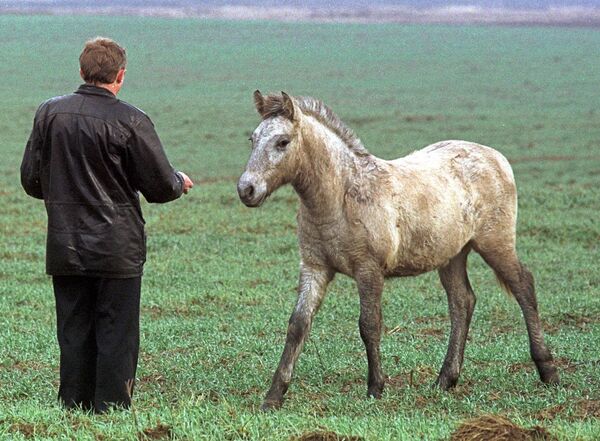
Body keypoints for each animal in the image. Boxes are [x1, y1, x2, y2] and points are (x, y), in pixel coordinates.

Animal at [237, 89, 560, 410]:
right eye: (252, 139)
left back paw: (548, 371)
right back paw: (445, 379)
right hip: (452, 255)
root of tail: (497, 157)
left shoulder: (368, 270)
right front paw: (273, 396)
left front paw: (375, 388)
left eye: (282, 142)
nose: (246, 189)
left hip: (495, 243)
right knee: (462, 301)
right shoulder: (315, 268)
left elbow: (369, 325)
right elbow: (298, 325)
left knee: (523, 287)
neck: (340, 196)